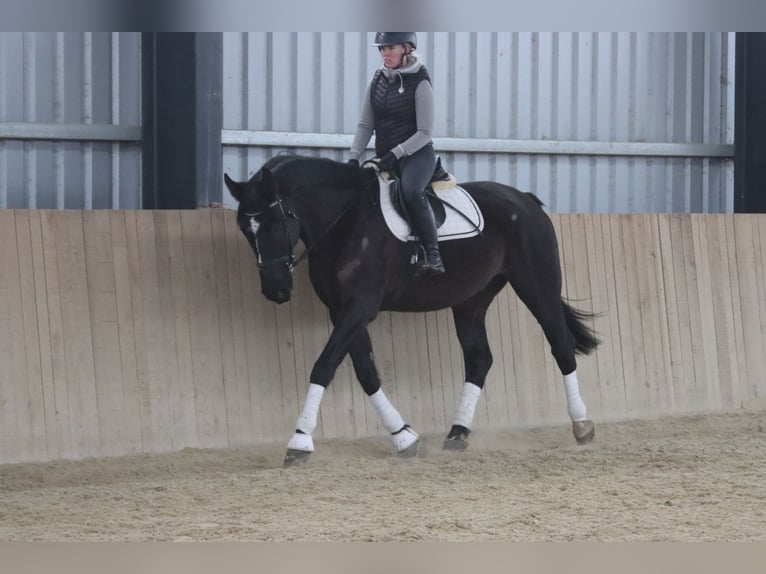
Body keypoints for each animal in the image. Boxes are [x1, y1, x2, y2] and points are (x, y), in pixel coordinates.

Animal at [225, 154, 604, 468]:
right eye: (245, 229)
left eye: (275, 222)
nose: (275, 289)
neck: (346, 222)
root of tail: (525, 200)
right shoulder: (342, 311)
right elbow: (367, 373)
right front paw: (404, 437)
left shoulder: (359, 309)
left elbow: (324, 366)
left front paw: (299, 441)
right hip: (471, 300)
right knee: (479, 359)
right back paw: (457, 433)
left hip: (537, 286)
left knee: (560, 347)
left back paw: (581, 425)